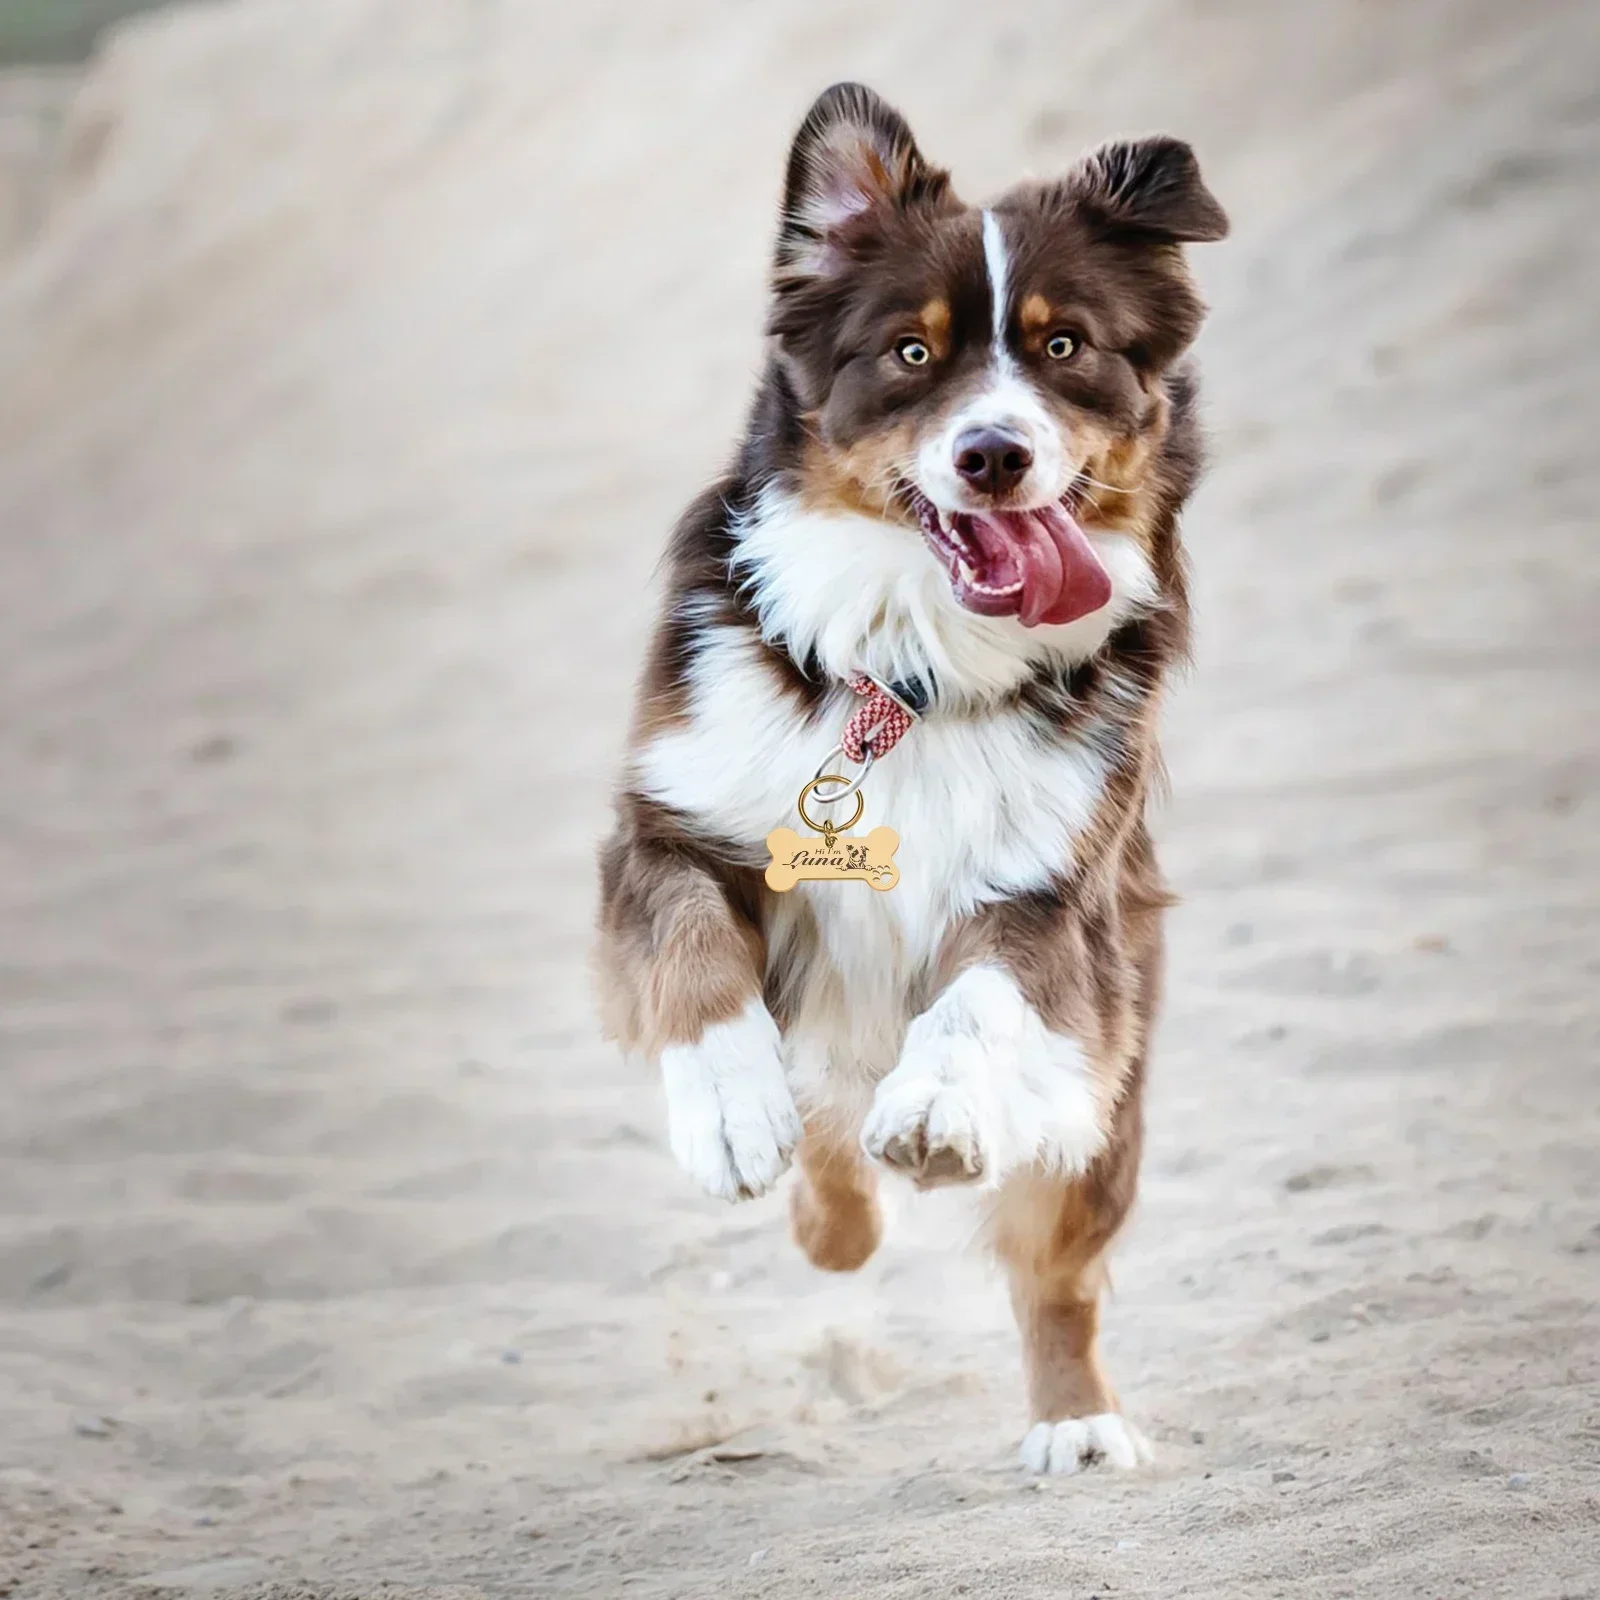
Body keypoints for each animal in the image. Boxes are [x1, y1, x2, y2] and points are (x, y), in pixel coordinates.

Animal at [595, 84, 1228, 1472]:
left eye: (1062, 346)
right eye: (910, 354)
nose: (993, 455)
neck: (910, 666)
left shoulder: (1054, 894)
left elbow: (978, 1001)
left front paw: (937, 1107)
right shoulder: (668, 825)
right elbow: (691, 952)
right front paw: (730, 1110)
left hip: (1108, 1083)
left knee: (1056, 1270)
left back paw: (1074, 1418)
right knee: (831, 1140)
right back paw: (825, 1199)